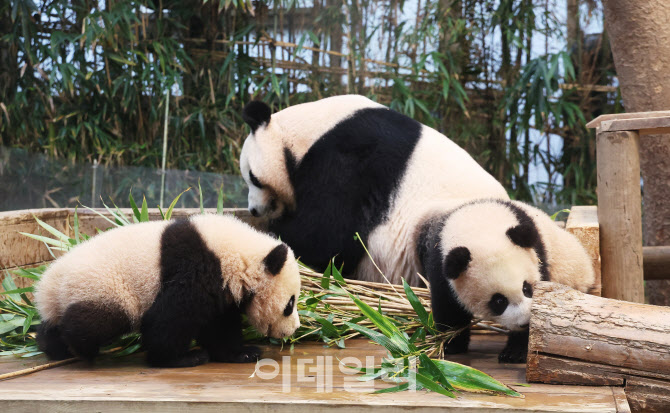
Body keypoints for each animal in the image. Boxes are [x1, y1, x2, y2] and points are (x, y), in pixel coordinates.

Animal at [34, 214, 302, 366]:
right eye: (290, 304)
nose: (293, 329)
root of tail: (49, 283)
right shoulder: (197, 268)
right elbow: (171, 317)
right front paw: (181, 358)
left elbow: (218, 324)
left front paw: (243, 353)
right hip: (104, 287)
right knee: (96, 321)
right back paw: (81, 349)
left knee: (53, 324)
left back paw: (54, 347)